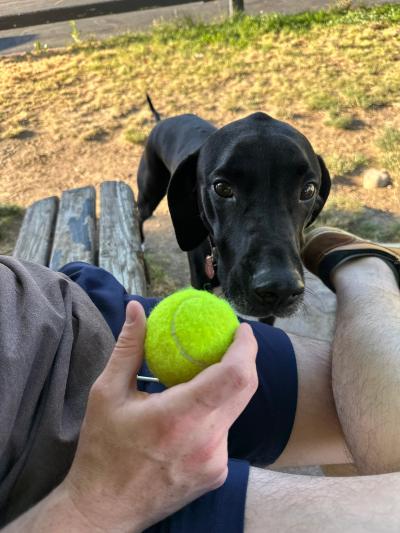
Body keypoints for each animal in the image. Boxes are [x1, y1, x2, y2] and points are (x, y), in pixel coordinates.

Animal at [136, 106, 330, 318]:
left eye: (308, 190)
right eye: (222, 188)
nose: (281, 289)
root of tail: (162, 120)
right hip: (150, 193)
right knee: (138, 214)